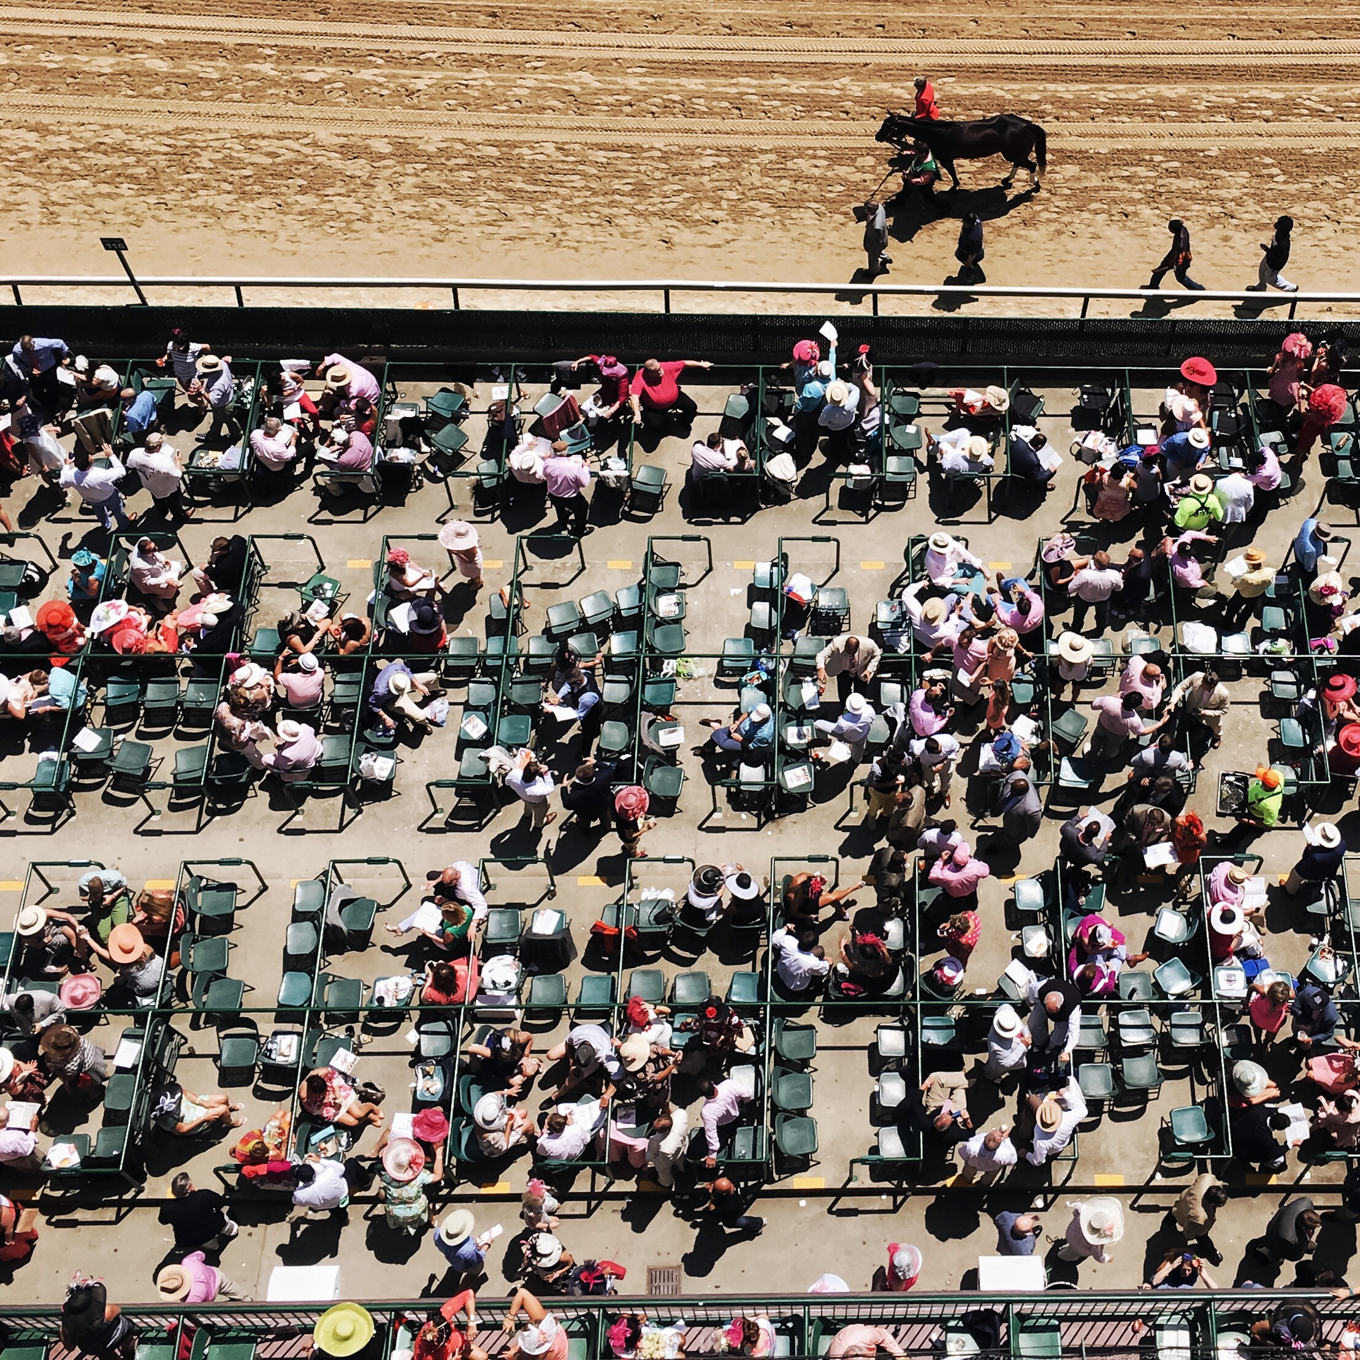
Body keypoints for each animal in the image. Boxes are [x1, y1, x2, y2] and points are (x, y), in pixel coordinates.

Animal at [875, 114, 1044, 191]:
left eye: (888, 126)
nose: (877, 137)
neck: (936, 132)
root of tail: (1027, 125)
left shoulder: (946, 158)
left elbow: (952, 172)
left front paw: (954, 187)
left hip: (1012, 153)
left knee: (1031, 165)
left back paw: (1035, 184)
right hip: (1012, 153)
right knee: (1019, 163)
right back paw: (1007, 180)